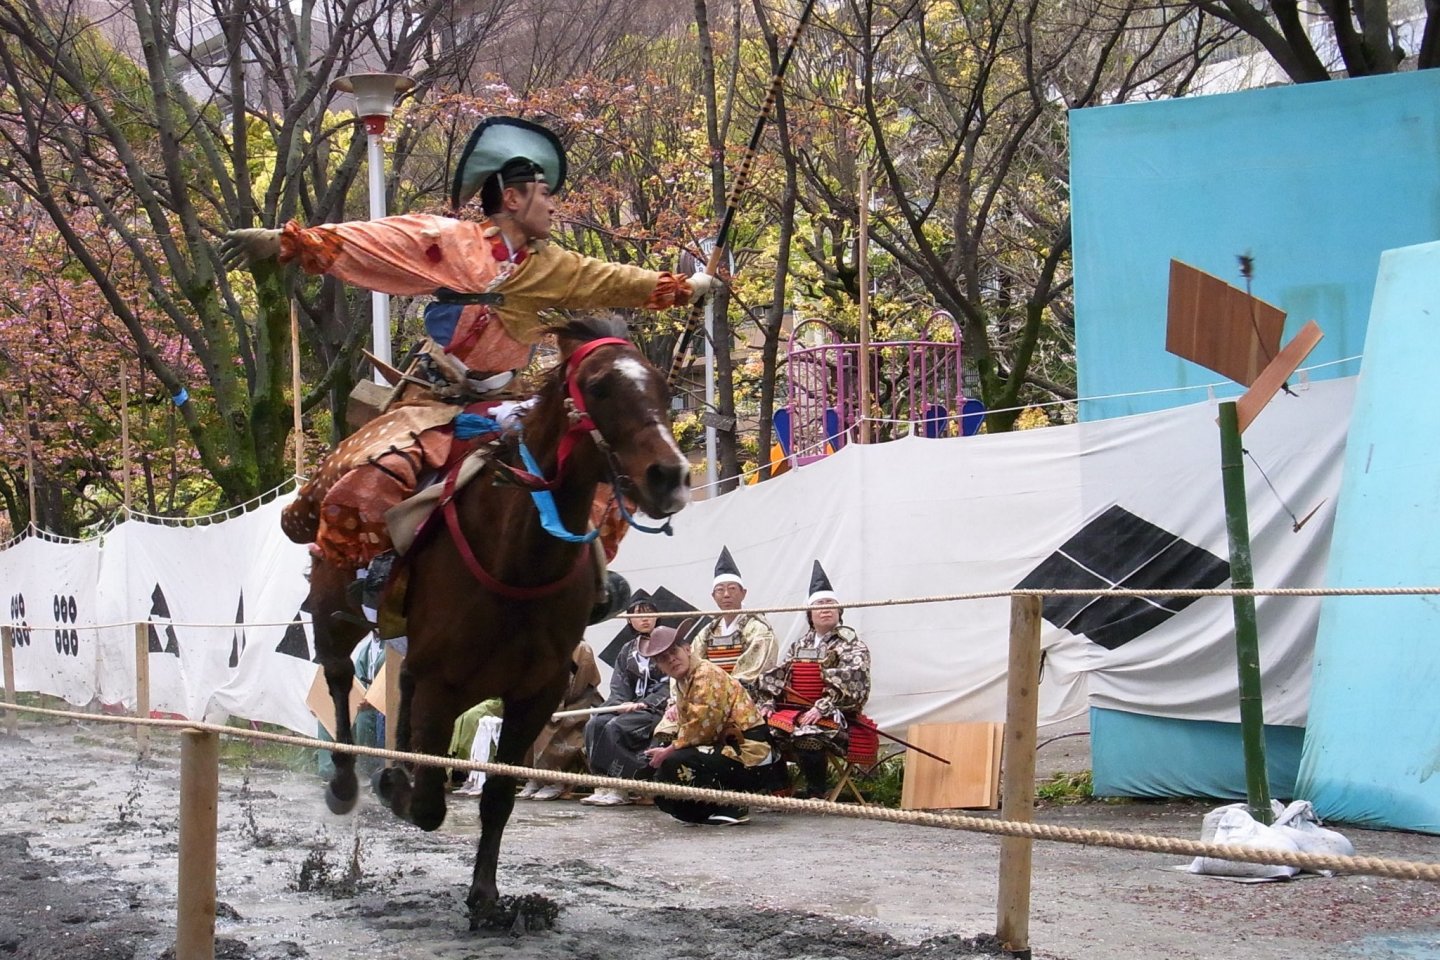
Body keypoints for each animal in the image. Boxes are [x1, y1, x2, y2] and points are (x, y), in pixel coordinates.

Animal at [306, 319, 688, 926]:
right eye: (600, 386)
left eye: (660, 385)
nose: (669, 475)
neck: (520, 557)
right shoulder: (444, 683)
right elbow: (429, 803)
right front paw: (392, 785)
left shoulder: (535, 693)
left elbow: (498, 797)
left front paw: (485, 896)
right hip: (333, 604)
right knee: (340, 675)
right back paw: (346, 781)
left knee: (397, 684)